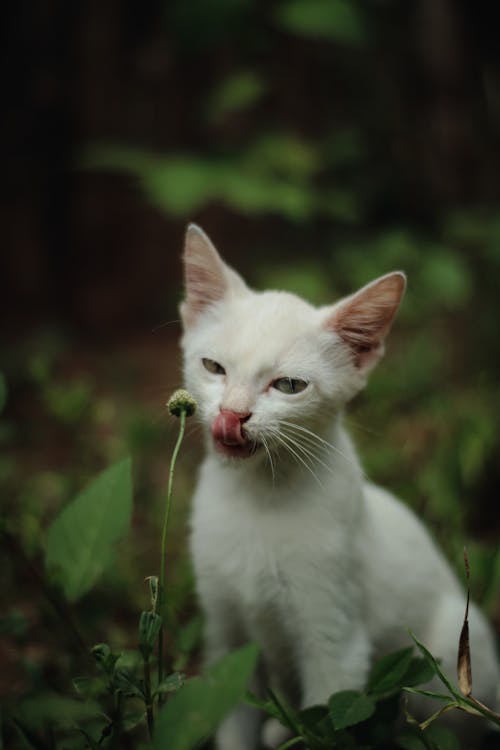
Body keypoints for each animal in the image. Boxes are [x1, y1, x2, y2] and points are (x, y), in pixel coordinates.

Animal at [179, 225, 496, 750]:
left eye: (289, 385)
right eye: (213, 367)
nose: (232, 415)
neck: (259, 500)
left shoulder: (335, 642)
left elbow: (326, 722)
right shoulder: (227, 640)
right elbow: (233, 723)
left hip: (457, 654)